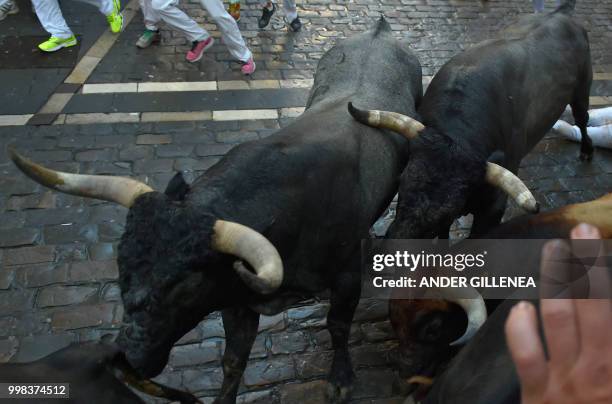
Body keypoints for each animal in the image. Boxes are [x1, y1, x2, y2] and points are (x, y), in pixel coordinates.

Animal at [8, 17, 430, 402]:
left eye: (186, 285)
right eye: (121, 264)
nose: (127, 357)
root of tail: (379, 28)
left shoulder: (345, 276)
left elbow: (338, 325)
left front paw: (340, 378)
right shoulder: (236, 301)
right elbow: (233, 361)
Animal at [350, 1, 592, 238]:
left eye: (448, 213)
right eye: (400, 181)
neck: (458, 132)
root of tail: (560, 13)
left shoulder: (492, 209)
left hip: (581, 90)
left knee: (582, 119)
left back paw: (587, 152)